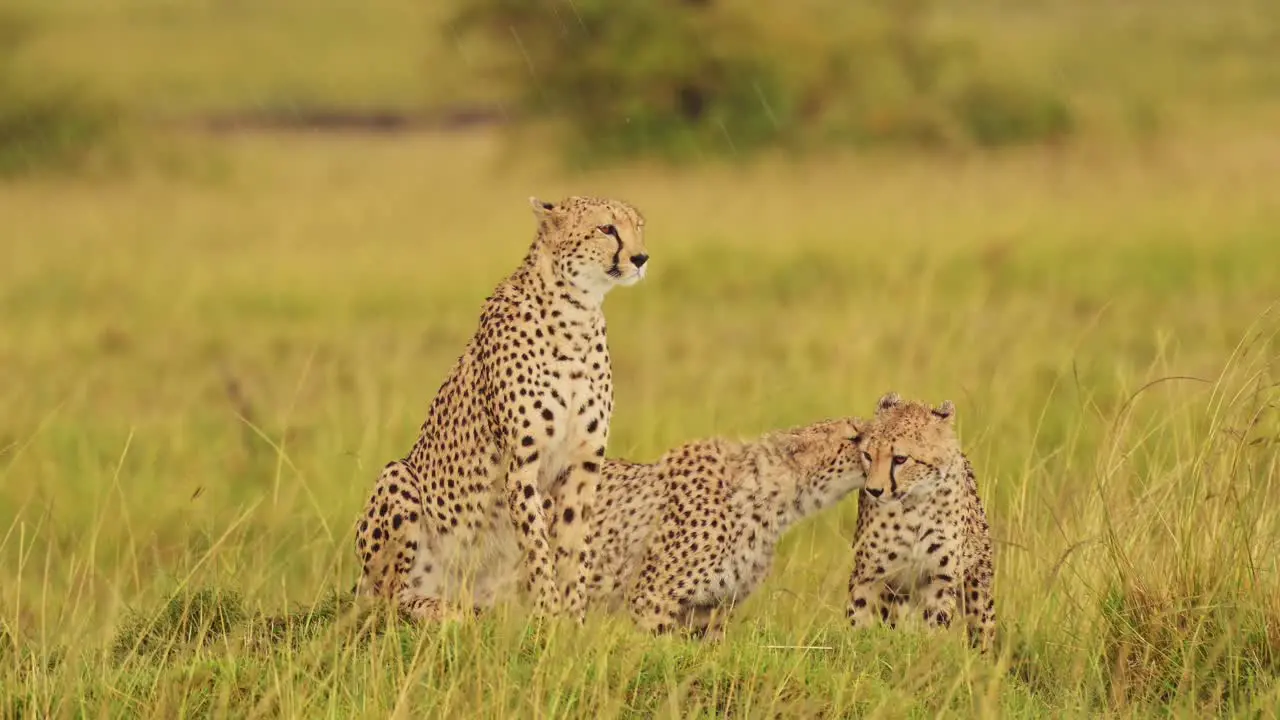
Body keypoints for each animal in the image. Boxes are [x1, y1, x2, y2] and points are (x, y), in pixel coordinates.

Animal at [355, 193, 650, 620]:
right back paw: (439, 609)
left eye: (638, 226)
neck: (576, 313)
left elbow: (573, 550)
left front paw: (572, 620)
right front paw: (548, 616)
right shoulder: (522, 465)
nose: (641, 257)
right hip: (398, 477)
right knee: (388, 598)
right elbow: (538, 548)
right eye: (606, 228)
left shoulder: (583, 464)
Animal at [849, 392, 998, 650]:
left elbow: (935, 626)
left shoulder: (940, 577)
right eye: (867, 455)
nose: (874, 490)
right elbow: (857, 616)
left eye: (900, 458)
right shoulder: (870, 572)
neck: (912, 504)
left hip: (977, 587)